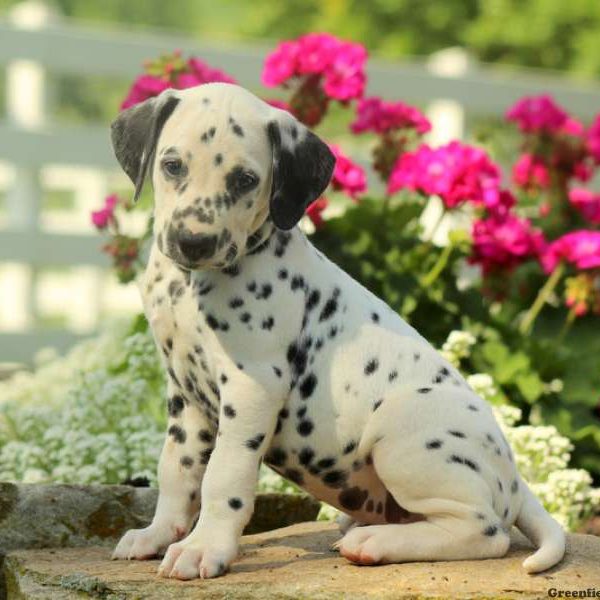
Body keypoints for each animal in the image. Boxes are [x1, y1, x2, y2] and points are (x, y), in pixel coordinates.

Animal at [110, 82, 564, 580]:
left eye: (245, 180)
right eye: (172, 165)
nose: (194, 241)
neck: (189, 285)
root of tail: (515, 477)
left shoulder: (252, 387)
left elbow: (223, 476)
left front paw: (204, 547)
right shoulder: (185, 391)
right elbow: (178, 470)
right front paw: (158, 534)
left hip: (403, 430)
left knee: (483, 530)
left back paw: (376, 542)